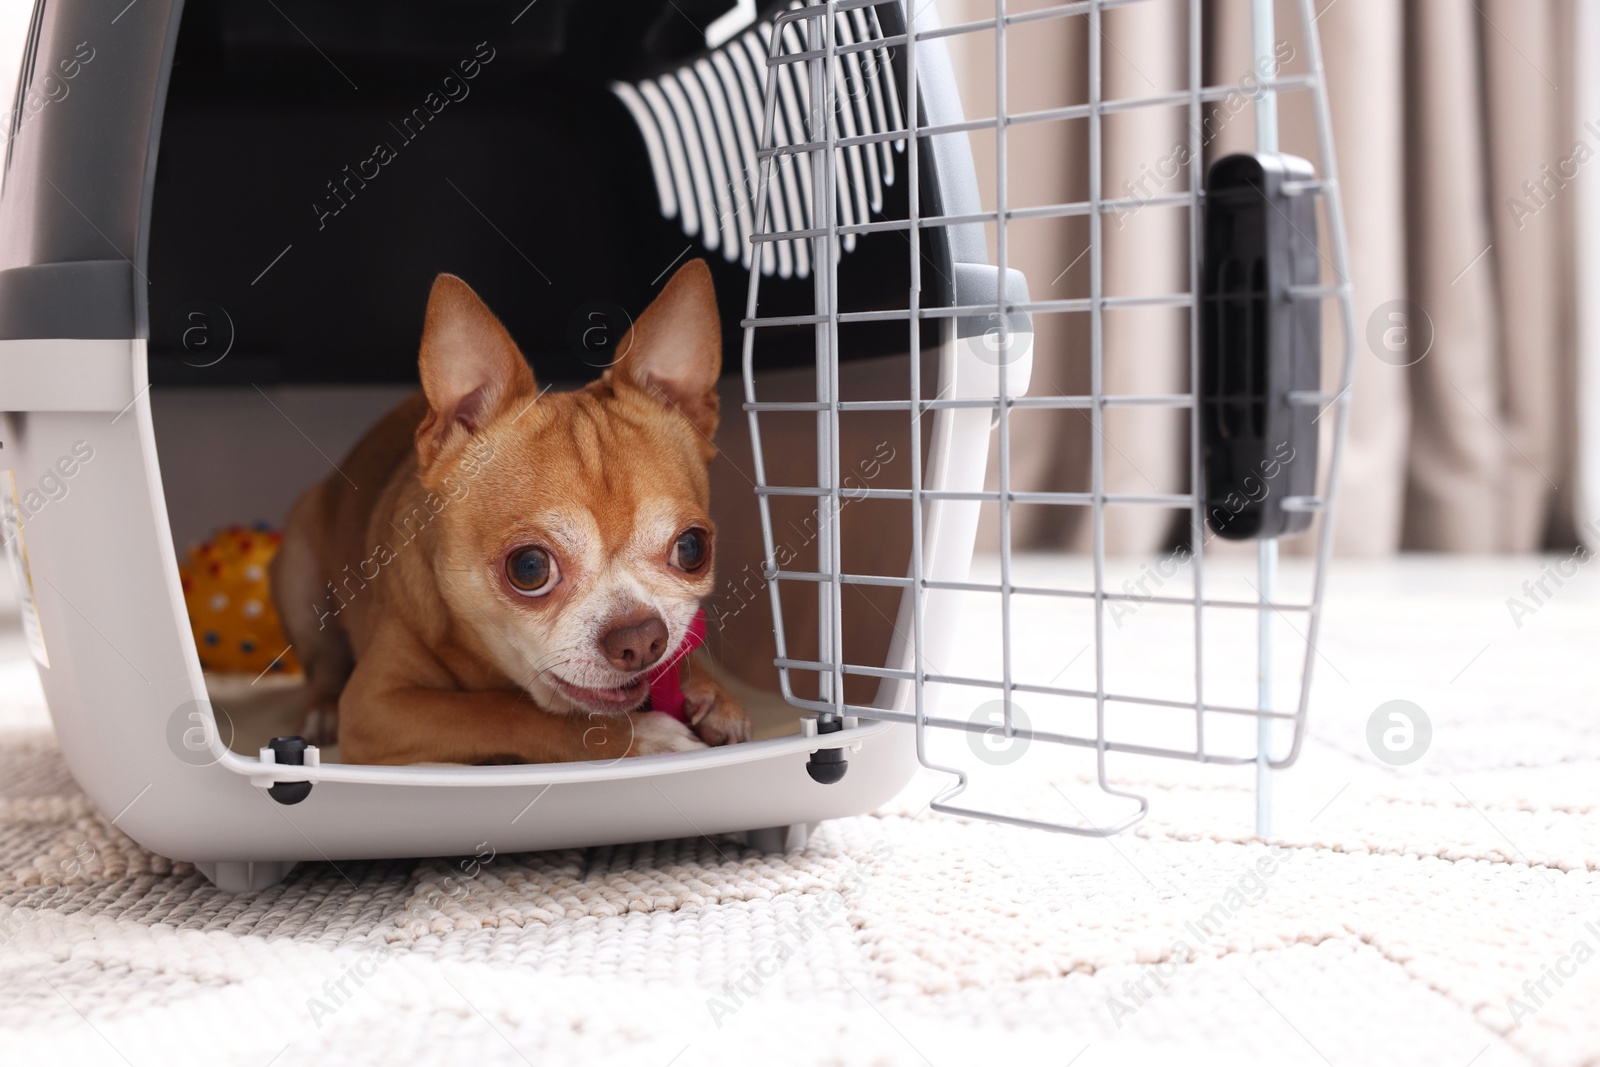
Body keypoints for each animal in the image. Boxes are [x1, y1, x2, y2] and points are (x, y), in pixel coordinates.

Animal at [268, 259, 748, 764]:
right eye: (530, 567)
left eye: (692, 549)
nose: (640, 639)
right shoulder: (375, 706)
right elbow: (505, 712)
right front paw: (642, 738)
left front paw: (712, 693)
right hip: (298, 575)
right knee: (322, 665)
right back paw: (321, 711)